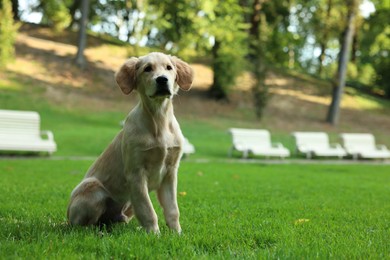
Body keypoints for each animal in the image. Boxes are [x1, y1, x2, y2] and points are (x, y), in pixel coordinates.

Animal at [68, 51, 195, 234]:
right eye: (147, 69)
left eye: (169, 68)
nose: (162, 79)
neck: (159, 120)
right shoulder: (136, 173)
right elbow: (147, 209)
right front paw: (154, 235)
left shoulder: (170, 172)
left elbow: (172, 210)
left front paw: (177, 234)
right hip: (93, 187)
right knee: (82, 226)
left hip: (126, 207)